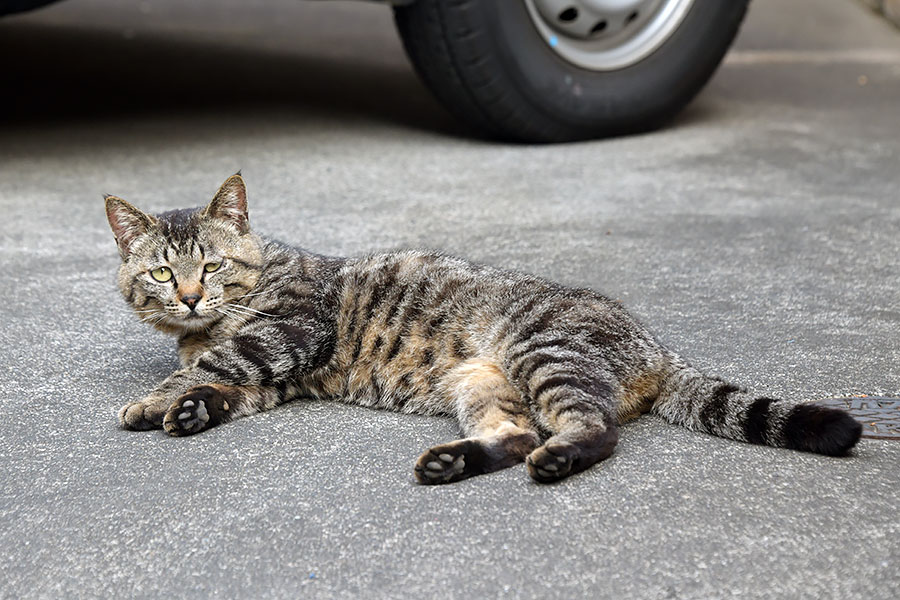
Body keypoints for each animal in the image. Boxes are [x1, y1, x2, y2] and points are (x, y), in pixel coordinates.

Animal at [107, 173, 864, 482]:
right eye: (162, 274)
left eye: (210, 265)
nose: (192, 299)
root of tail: (655, 345)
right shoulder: (277, 375)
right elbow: (224, 384)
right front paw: (190, 408)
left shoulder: (290, 329)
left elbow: (218, 364)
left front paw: (156, 401)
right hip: (484, 386)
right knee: (518, 433)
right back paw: (452, 462)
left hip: (546, 354)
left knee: (594, 431)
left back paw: (557, 461)